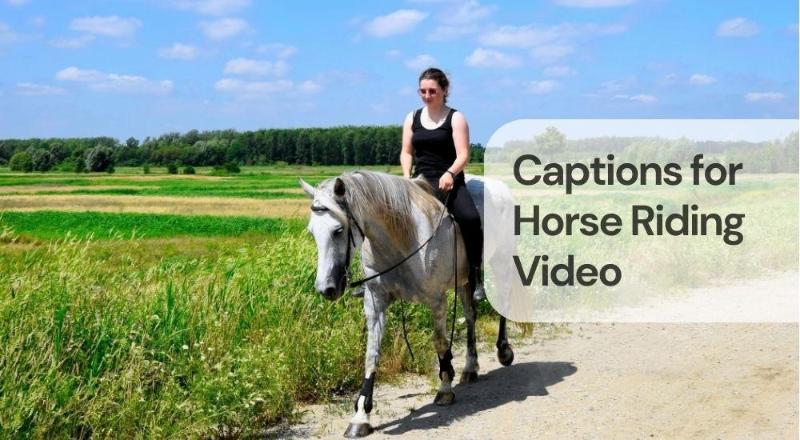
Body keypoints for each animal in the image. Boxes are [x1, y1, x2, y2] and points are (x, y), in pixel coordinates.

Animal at [300, 170, 514, 438]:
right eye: (311, 232)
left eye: (338, 230)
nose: (326, 288)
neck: (401, 236)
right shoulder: (375, 302)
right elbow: (372, 353)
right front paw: (361, 416)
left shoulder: (436, 299)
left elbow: (439, 342)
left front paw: (445, 388)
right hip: (464, 280)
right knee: (471, 315)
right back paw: (470, 368)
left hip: (501, 260)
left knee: (502, 303)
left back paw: (504, 351)